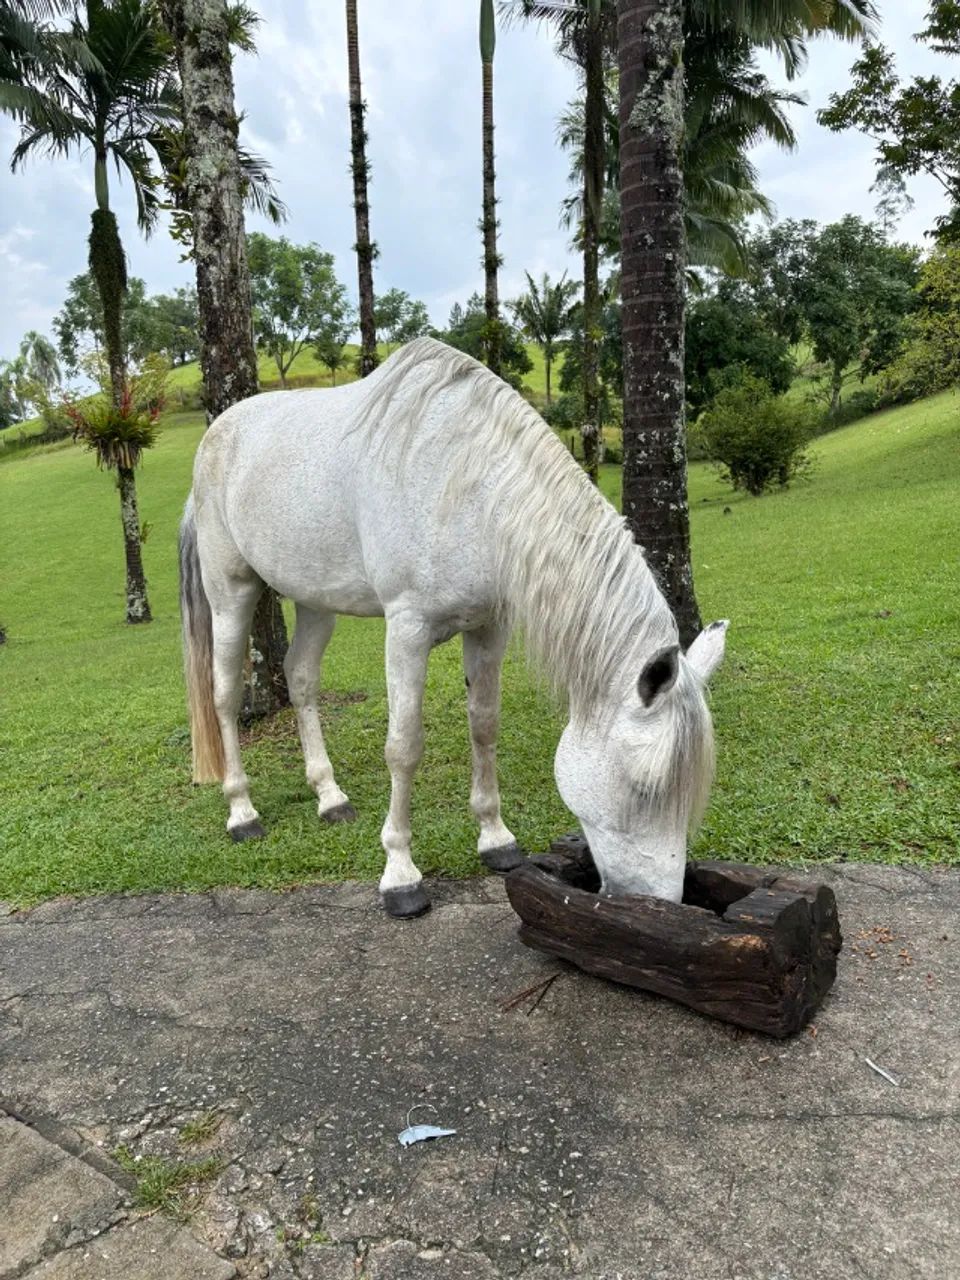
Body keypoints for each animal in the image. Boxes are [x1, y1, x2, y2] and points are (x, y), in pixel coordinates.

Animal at [179, 337, 727, 918]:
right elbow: (403, 747)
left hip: (314, 600)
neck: (469, 487)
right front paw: (400, 875)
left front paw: (496, 839)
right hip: (231, 593)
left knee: (301, 679)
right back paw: (242, 812)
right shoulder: (407, 631)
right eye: (646, 788)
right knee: (224, 696)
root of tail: (214, 437)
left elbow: (483, 726)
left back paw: (330, 798)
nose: (663, 904)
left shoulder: (488, 629)